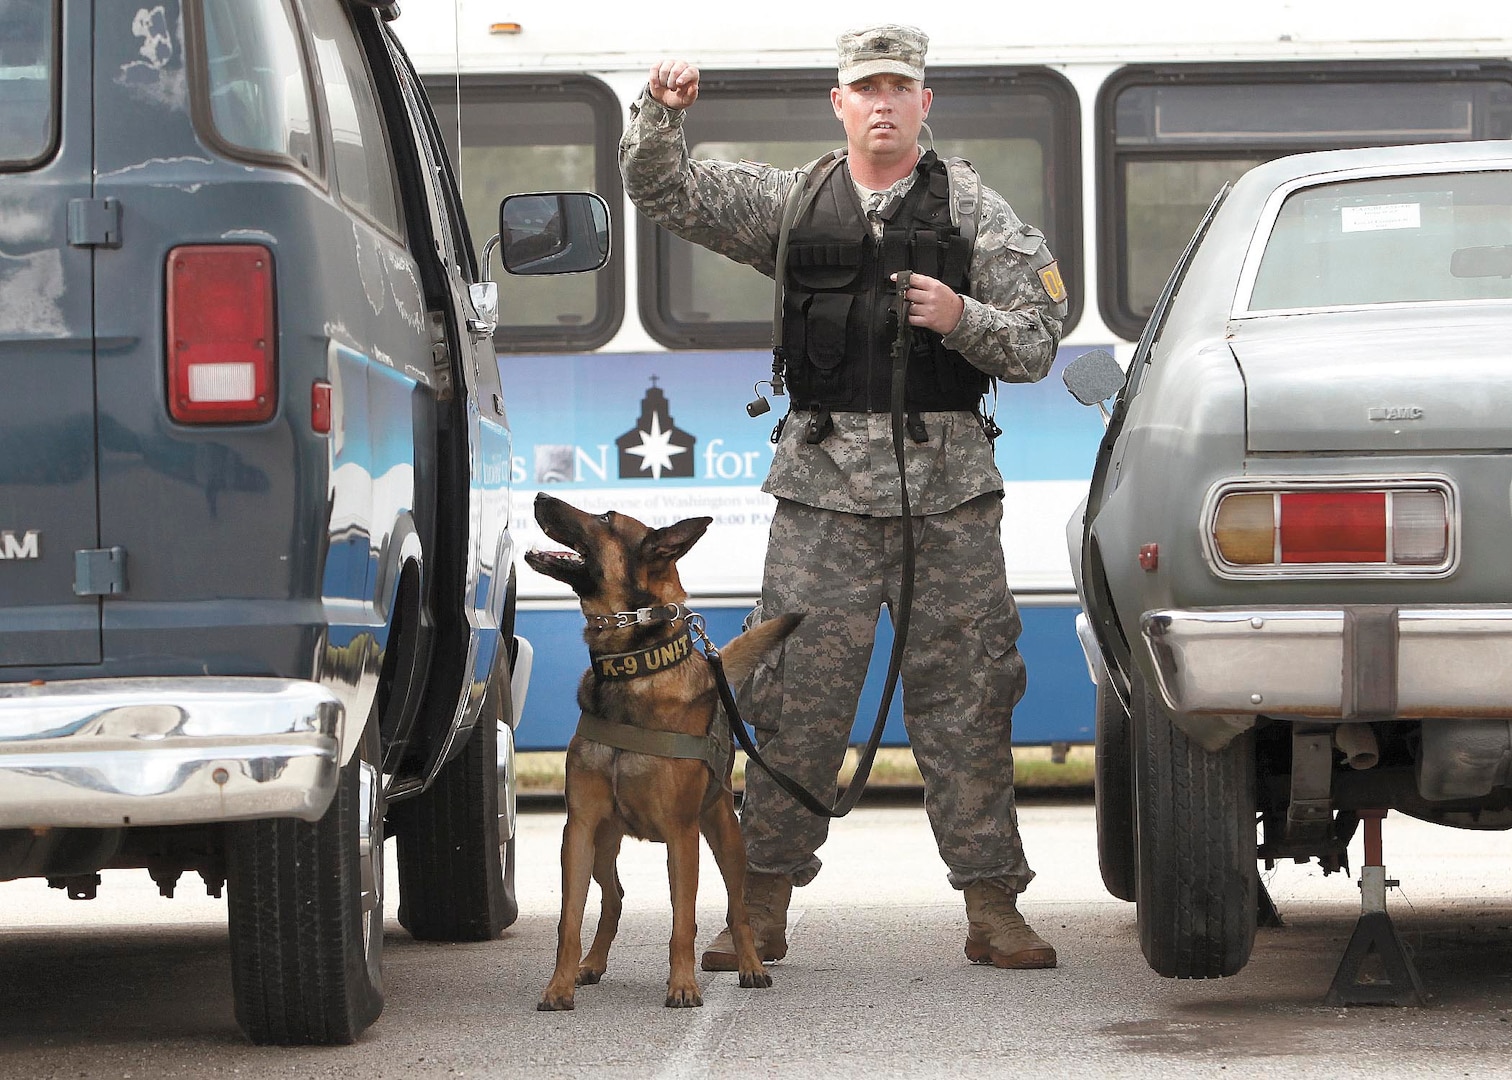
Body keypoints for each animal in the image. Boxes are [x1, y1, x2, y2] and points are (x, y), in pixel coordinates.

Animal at [523, 493, 804, 1004]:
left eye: (606, 519)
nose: (539, 496)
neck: (631, 668)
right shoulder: (579, 829)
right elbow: (569, 921)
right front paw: (558, 986)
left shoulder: (681, 835)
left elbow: (683, 921)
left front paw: (683, 986)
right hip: (603, 844)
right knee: (613, 899)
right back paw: (590, 965)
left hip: (725, 839)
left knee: (738, 909)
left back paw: (751, 965)